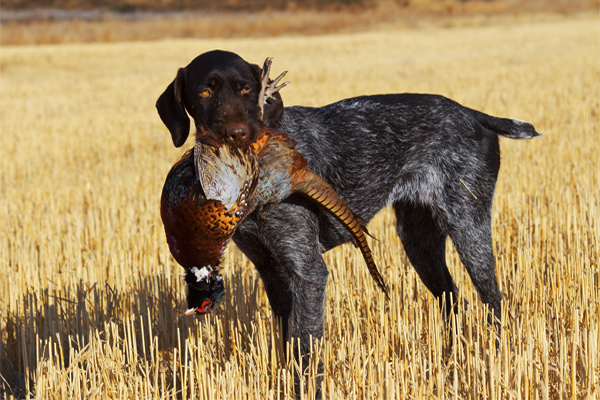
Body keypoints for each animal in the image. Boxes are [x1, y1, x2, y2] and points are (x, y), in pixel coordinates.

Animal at [155, 48, 540, 370]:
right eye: (205, 92)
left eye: (246, 89)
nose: (237, 134)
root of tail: (472, 113)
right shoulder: (272, 271)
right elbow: (286, 344)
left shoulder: (308, 271)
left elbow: (305, 352)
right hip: (420, 241)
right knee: (452, 298)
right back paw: (453, 355)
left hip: (469, 227)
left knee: (493, 300)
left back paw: (495, 356)